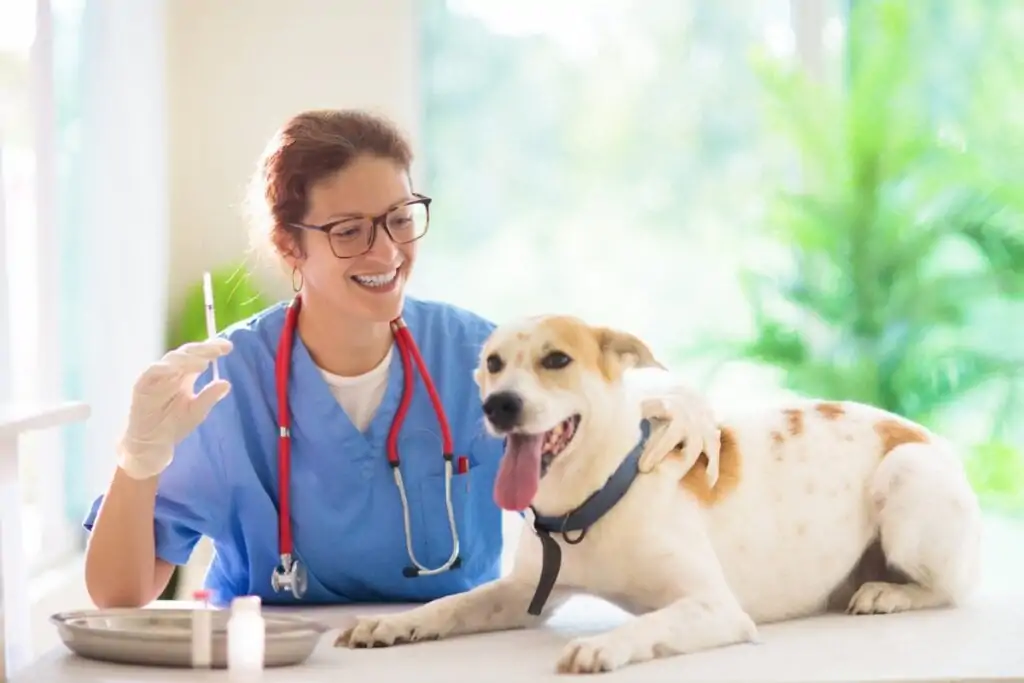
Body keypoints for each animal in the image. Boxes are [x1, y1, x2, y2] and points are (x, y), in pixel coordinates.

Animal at [337, 315, 983, 671]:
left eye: (556, 359)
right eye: (493, 363)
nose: (500, 405)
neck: (592, 501)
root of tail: (930, 436)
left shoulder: (715, 608)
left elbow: (649, 625)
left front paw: (603, 646)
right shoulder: (523, 596)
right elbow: (451, 605)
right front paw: (392, 623)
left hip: (903, 477)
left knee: (949, 590)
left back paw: (889, 593)